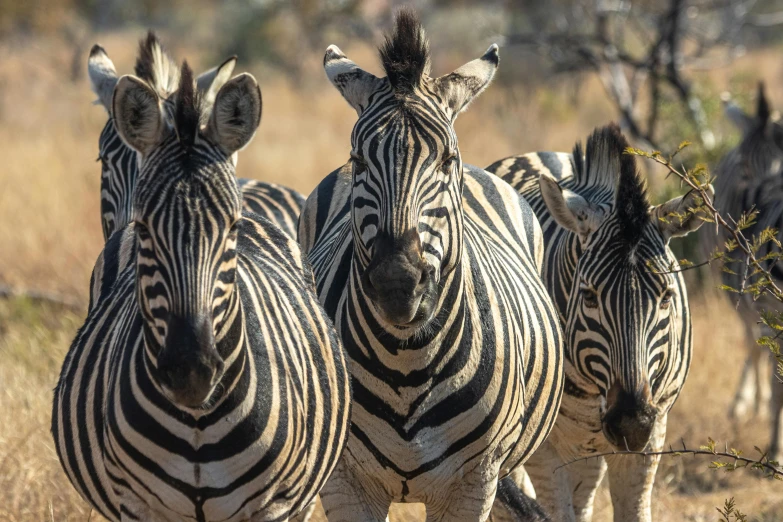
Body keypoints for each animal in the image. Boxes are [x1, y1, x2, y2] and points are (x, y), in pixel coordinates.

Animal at [52, 62, 352, 520]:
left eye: (232, 226)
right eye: (145, 229)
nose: (190, 371)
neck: (198, 422)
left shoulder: (275, 506)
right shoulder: (137, 505)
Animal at [296, 9, 564, 520]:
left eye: (446, 160)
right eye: (359, 160)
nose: (398, 283)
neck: (406, 363)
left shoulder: (474, 482)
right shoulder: (345, 481)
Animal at [490, 123, 716, 520]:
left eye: (666, 297)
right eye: (589, 296)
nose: (631, 423)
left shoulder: (652, 434)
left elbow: (633, 510)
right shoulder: (546, 451)